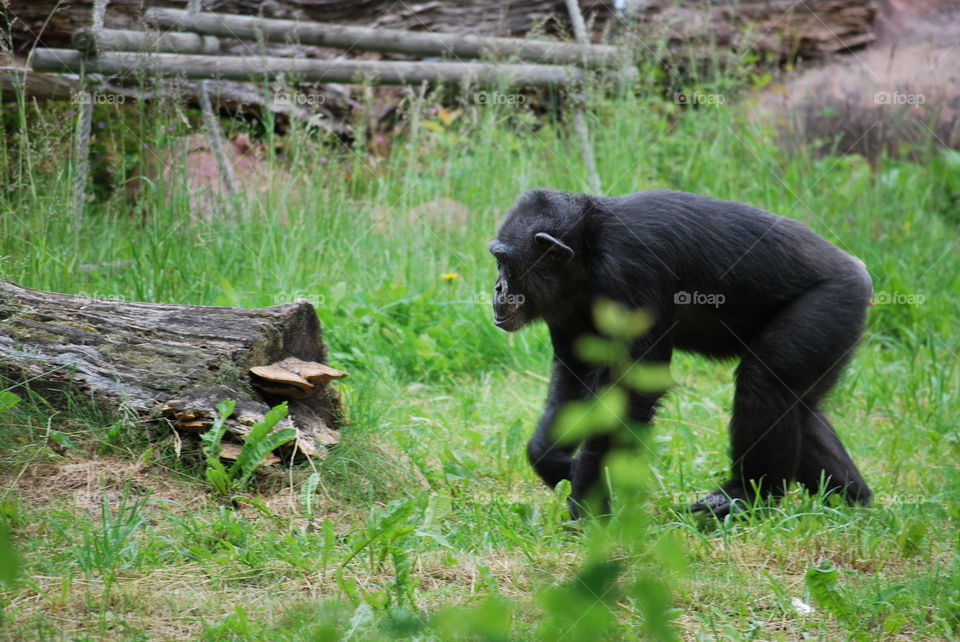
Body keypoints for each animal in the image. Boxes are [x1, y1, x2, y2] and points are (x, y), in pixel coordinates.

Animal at [492, 186, 872, 516]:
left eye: (504, 261)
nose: (497, 287)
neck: (587, 254)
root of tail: (859, 270)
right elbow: (577, 371)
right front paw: (552, 460)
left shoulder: (632, 269)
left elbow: (633, 388)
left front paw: (587, 505)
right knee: (799, 409)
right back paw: (850, 502)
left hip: (829, 305)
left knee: (766, 383)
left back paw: (748, 495)